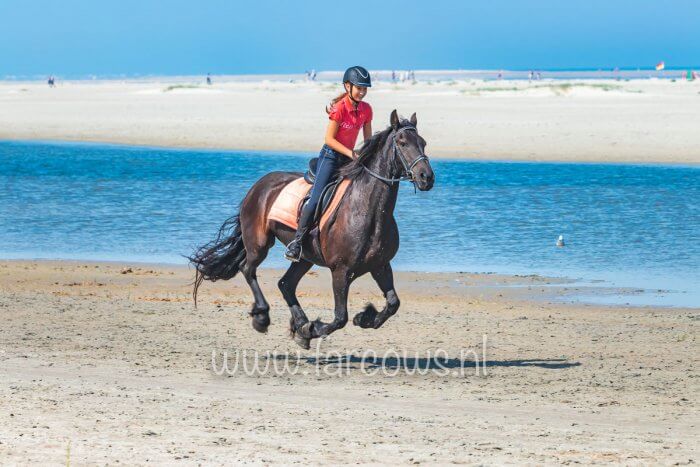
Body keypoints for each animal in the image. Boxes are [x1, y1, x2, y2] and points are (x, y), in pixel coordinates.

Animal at [189, 111, 434, 350]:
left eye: (423, 142)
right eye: (402, 142)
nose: (427, 177)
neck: (369, 211)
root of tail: (259, 185)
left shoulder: (380, 265)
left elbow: (393, 303)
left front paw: (364, 318)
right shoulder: (341, 271)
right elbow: (340, 318)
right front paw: (312, 329)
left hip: (305, 257)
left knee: (285, 284)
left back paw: (300, 323)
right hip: (259, 244)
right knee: (247, 269)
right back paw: (264, 318)